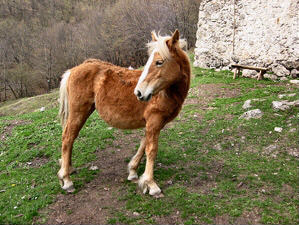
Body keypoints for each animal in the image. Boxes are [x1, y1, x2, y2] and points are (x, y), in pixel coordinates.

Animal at [57, 29, 191, 195]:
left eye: (159, 62)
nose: (139, 93)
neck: (165, 93)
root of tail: (73, 70)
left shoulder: (153, 124)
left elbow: (143, 145)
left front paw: (133, 172)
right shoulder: (154, 122)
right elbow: (151, 150)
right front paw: (151, 184)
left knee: (70, 138)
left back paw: (68, 169)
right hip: (79, 113)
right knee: (68, 138)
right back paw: (66, 179)